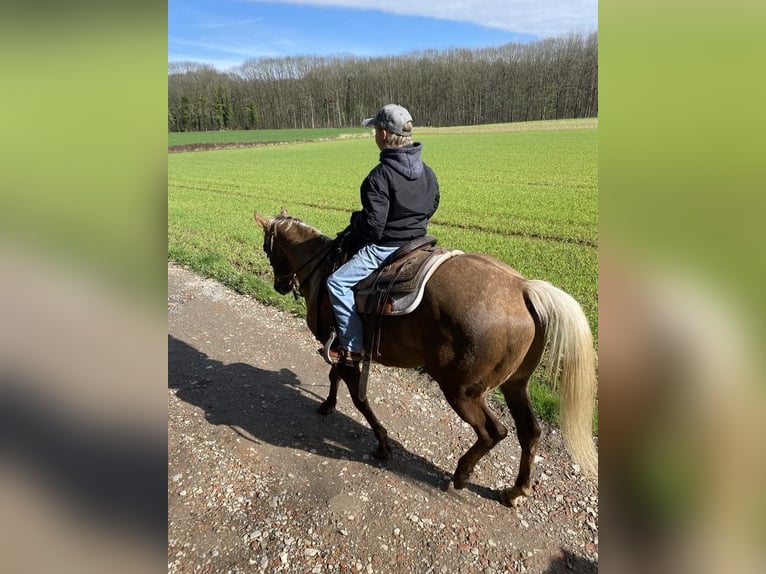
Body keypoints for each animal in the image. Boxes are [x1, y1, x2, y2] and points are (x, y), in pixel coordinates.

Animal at [255, 209, 596, 506]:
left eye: (267, 248)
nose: (279, 285)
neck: (323, 268)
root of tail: (523, 288)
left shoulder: (344, 348)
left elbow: (359, 398)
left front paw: (382, 443)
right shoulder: (343, 349)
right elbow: (335, 377)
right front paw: (328, 404)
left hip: (463, 391)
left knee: (493, 432)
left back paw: (461, 473)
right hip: (516, 384)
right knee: (529, 432)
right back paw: (515, 490)